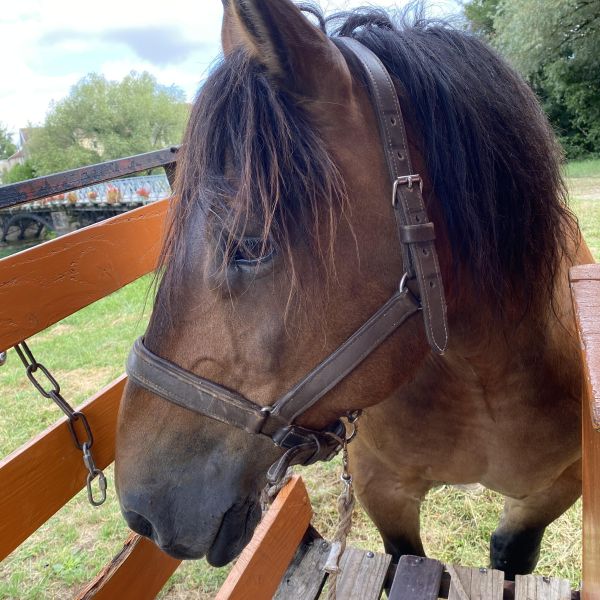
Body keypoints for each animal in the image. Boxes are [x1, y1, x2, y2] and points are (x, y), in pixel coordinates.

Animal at [115, 0, 592, 580]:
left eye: (251, 244)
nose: (140, 512)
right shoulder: (381, 488)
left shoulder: (554, 490)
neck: (481, 380)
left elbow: (509, 555)